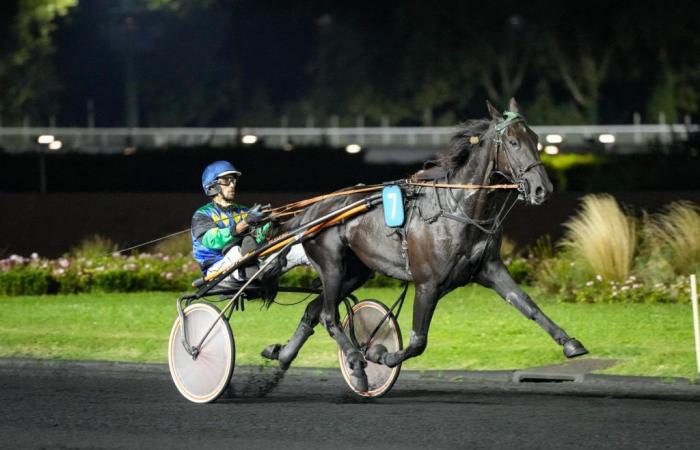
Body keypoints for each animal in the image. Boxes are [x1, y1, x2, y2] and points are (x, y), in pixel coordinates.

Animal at [262, 99, 584, 390]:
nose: (543, 189)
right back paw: (356, 363)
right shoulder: (427, 283)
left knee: (313, 310)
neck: (457, 208)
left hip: (355, 272)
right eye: (514, 142)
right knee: (329, 316)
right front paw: (381, 356)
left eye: (536, 139)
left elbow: (527, 304)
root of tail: (313, 210)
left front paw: (570, 343)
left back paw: (284, 354)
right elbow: (418, 341)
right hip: (331, 265)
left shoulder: (490, 269)